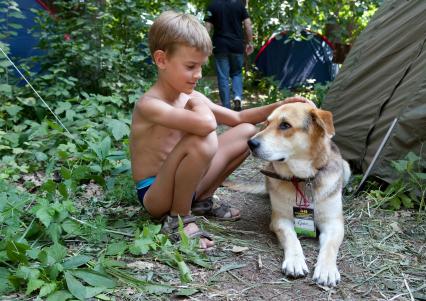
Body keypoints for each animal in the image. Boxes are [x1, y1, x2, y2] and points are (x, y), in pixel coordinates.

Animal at [248, 99, 352, 286]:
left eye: (285, 125)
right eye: (267, 123)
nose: (250, 143)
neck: (303, 179)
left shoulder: (334, 223)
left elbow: (330, 246)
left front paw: (326, 270)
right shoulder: (280, 219)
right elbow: (291, 237)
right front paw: (295, 261)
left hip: (346, 167)